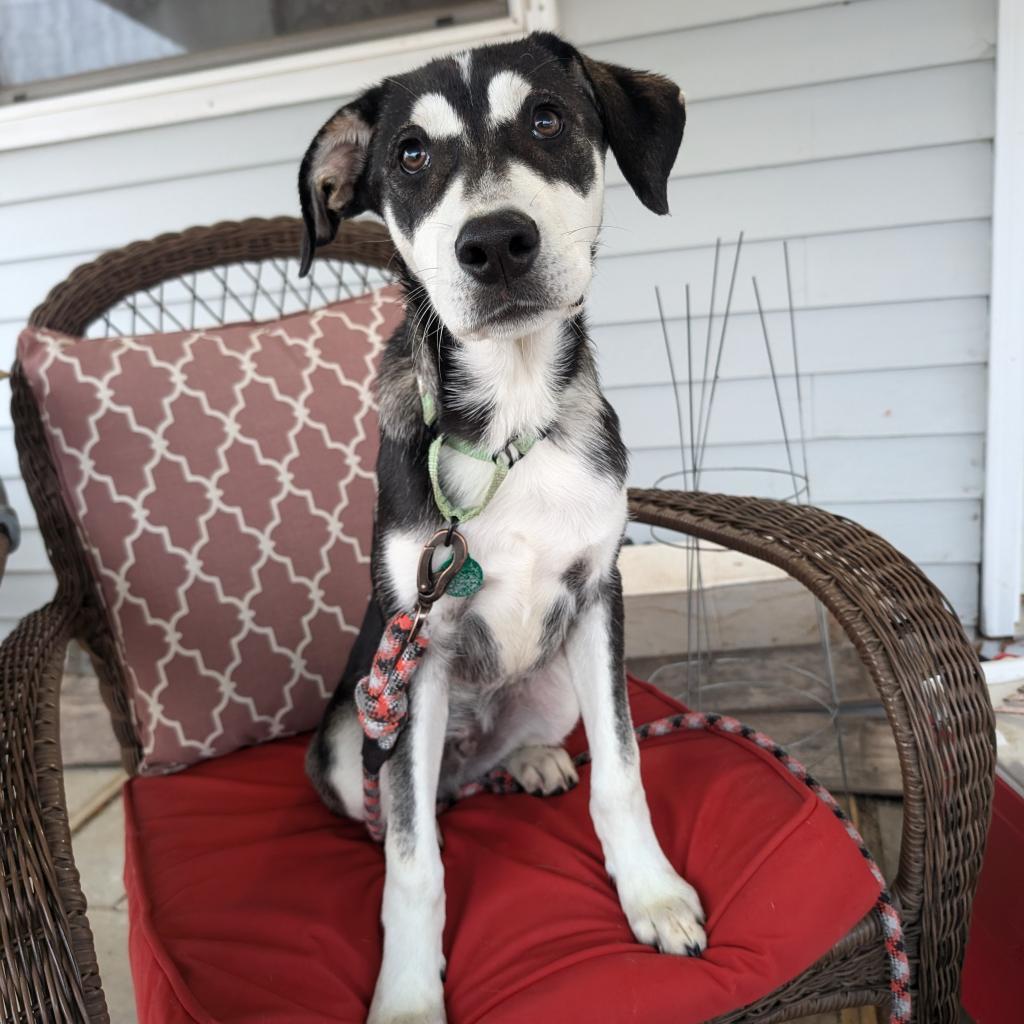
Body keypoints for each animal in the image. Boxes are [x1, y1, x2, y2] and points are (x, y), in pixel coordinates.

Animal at [296, 32, 704, 1024]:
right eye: (409, 153)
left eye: (549, 119)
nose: (495, 244)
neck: (512, 422)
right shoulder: (418, 653)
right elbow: (413, 866)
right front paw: (409, 995)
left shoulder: (598, 598)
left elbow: (623, 772)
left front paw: (653, 896)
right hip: (352, 735)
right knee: (407, 804)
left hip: (553, 684)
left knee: (516, 755)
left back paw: (533, 762)